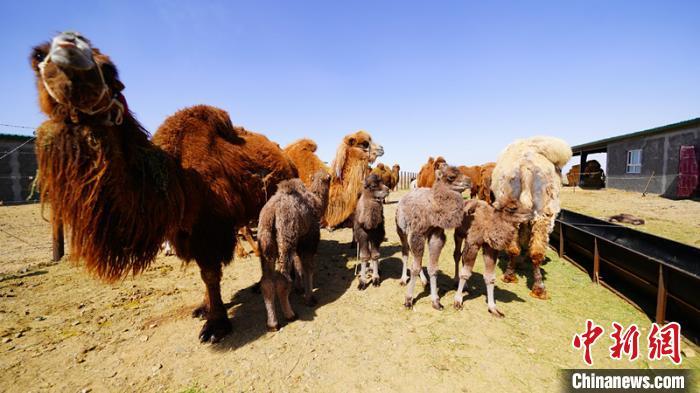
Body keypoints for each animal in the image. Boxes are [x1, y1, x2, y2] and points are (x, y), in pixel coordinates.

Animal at [29, 32, 298, 342]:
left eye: (109, 70)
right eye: (38, 56)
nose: (67, 45)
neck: (177, 180)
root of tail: (287, 159)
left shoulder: (208, 227)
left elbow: (210, 273)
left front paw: (216, 325)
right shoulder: (184, 231)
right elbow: (204, 274)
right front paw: (204, 308)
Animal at [258, 170, 332, 330]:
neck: (316, 203)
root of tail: (271, 213)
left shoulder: (300, 239)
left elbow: (298, 264)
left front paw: (299, 288)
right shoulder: (309, 239)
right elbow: (308, 268)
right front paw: (309, 298)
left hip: (266, 242)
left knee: (266, 282)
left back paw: (272, 323)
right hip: (286, 238)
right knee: (283, 279)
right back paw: (290, 315)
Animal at [394, 163, 470, 310]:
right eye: (451, 177)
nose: (469, 181)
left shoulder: (436, 234)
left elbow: (433, 268)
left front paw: (436, 301)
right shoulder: (417, 233)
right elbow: (415, 268)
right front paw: (408, 300)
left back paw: (424, 281)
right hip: (402, 230)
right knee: (405, 251)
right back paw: (403, 279)